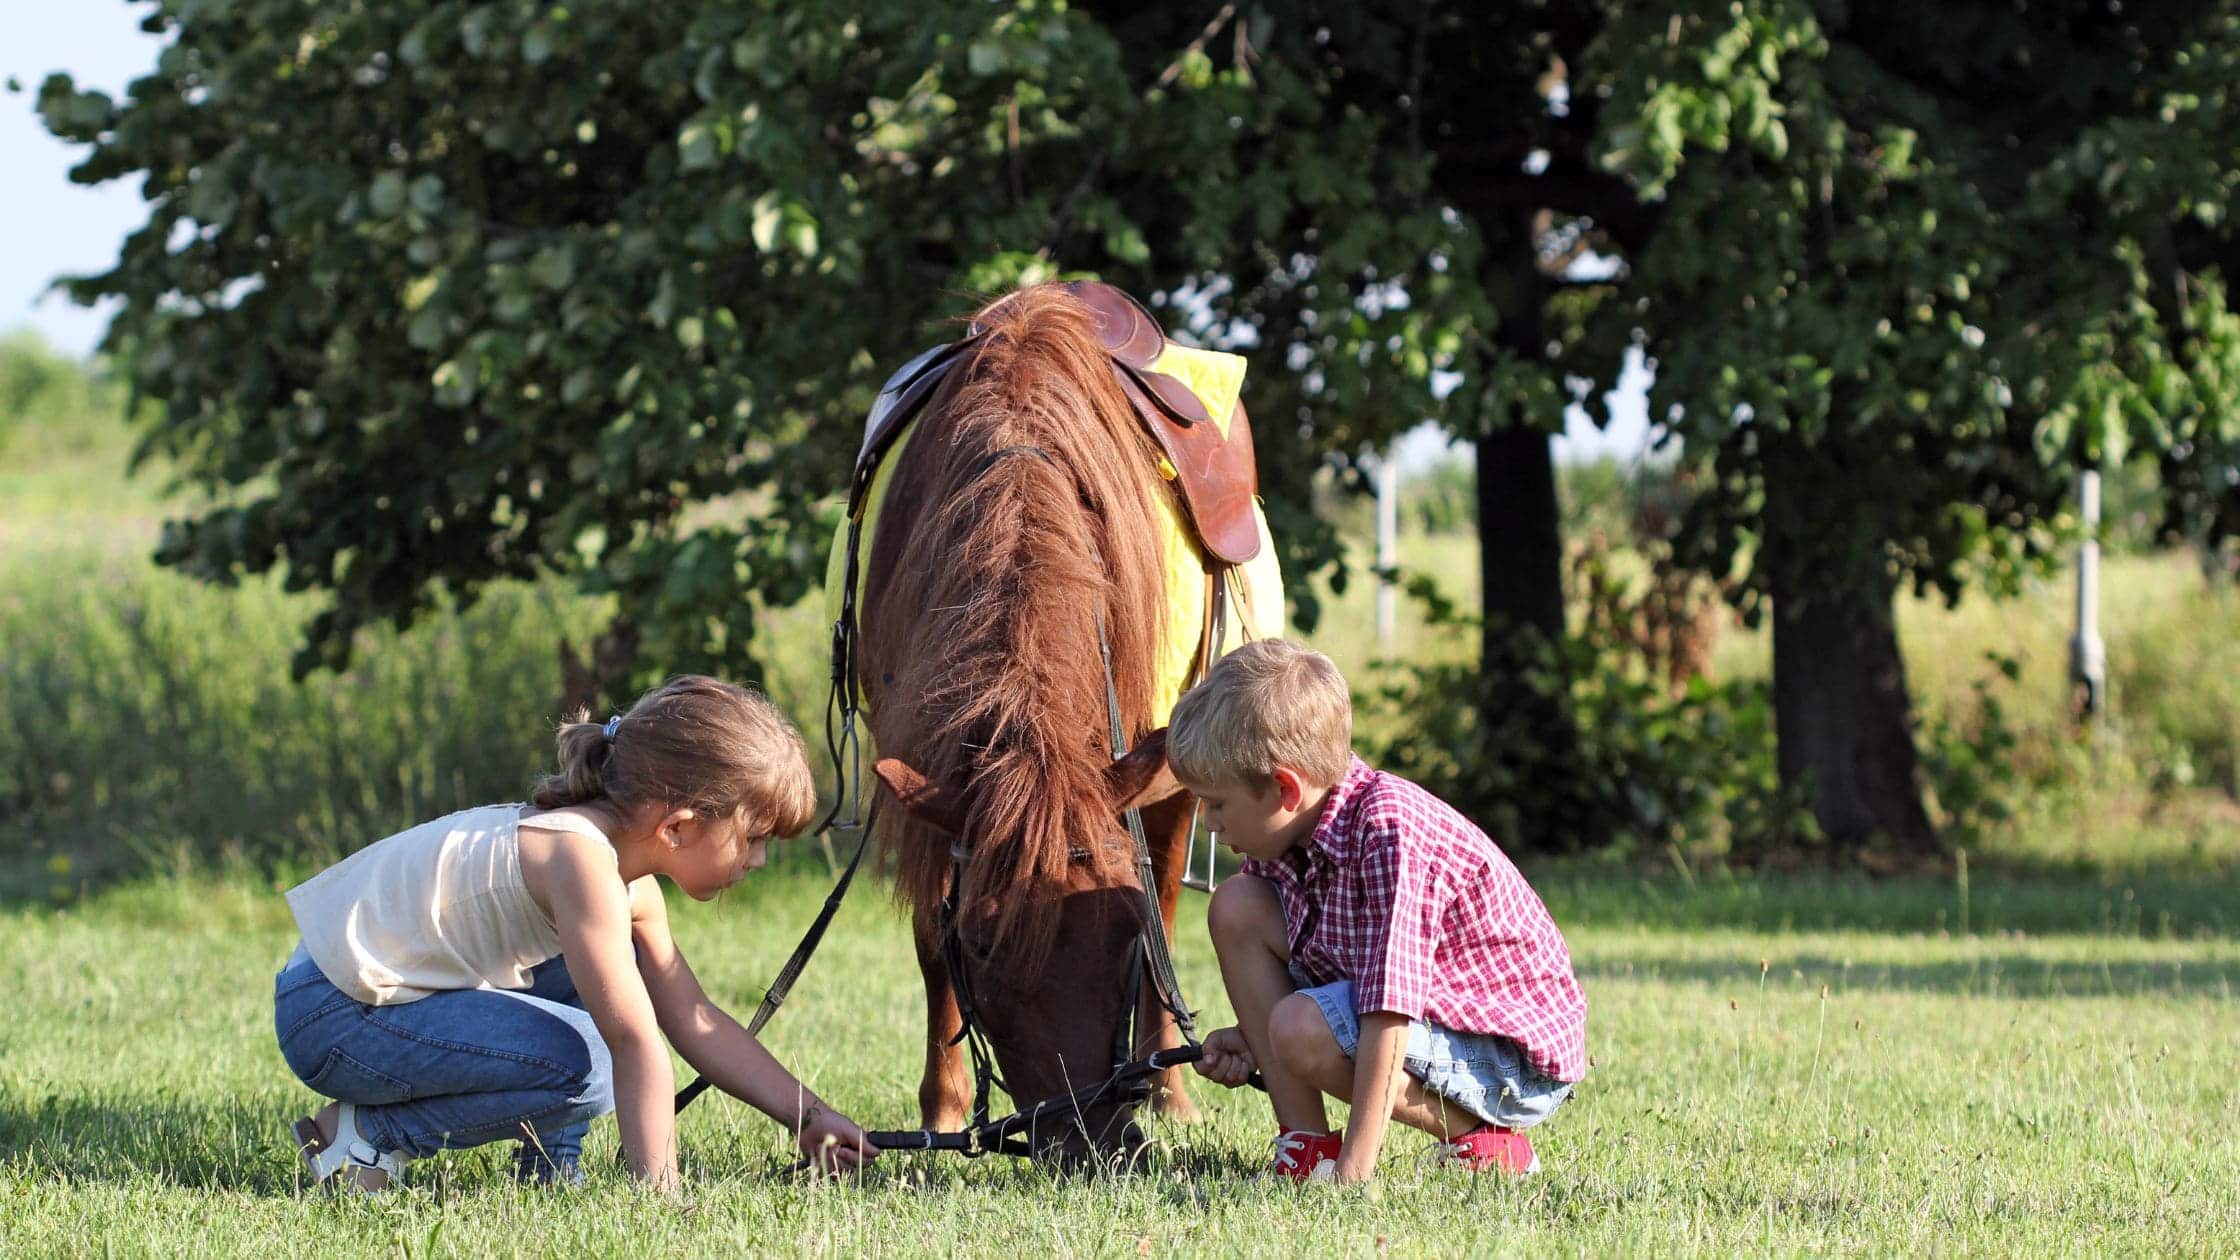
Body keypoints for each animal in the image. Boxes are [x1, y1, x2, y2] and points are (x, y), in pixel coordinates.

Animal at [855, 284, 1209, 1156]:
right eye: (984, 943)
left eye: (1122, 935)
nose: (1090, 1139)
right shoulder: (924, 774)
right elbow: (930, 941)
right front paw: (942, 1112)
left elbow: (1160, 917)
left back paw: (1173, 1092)